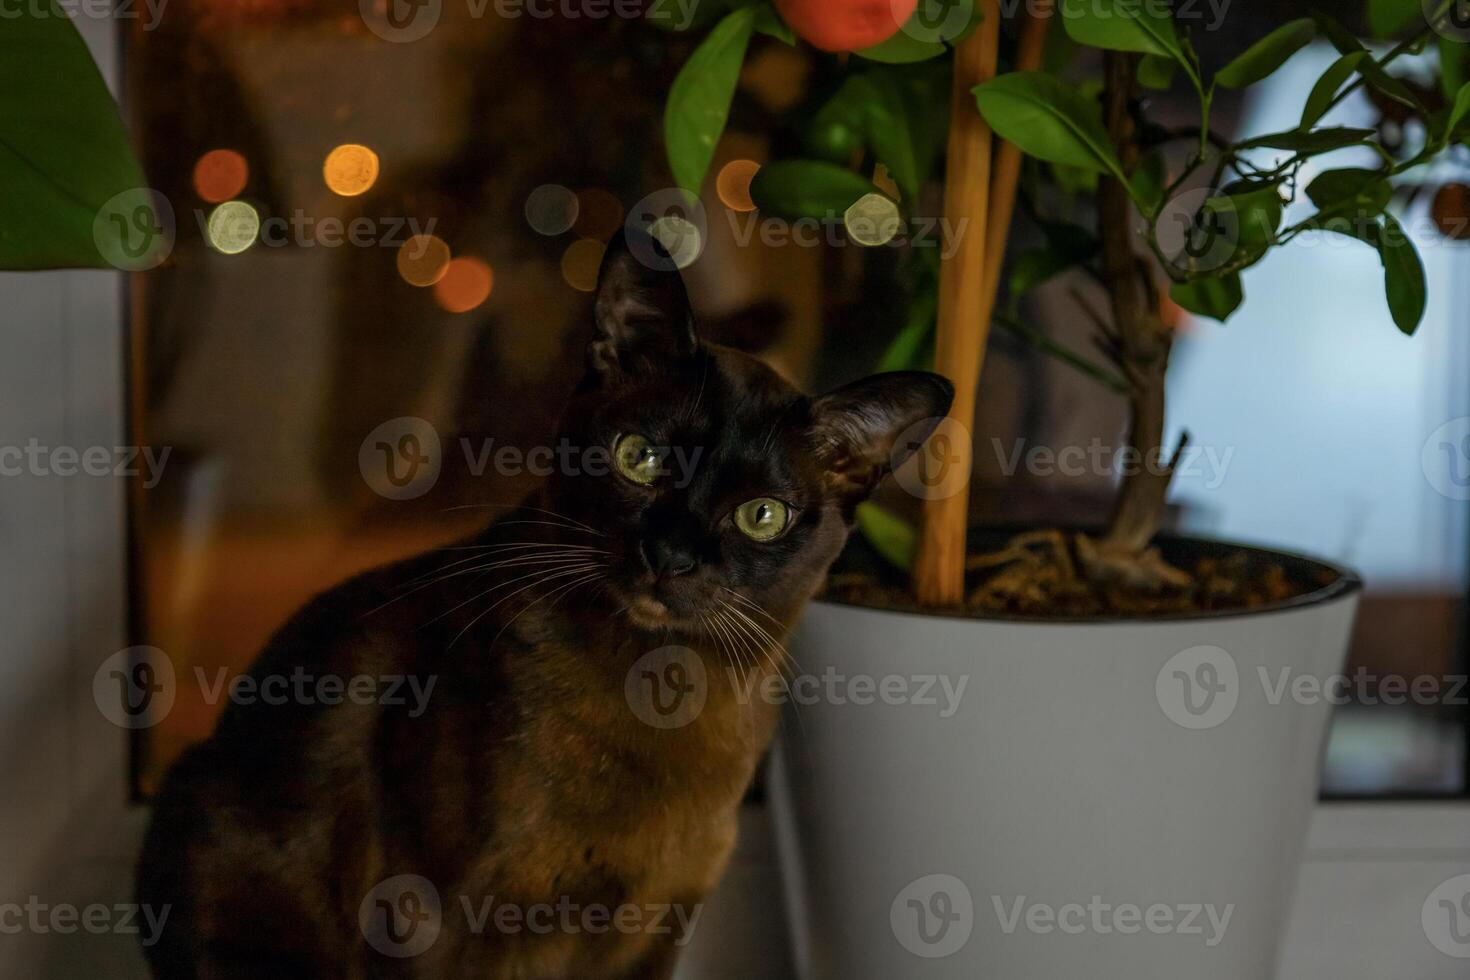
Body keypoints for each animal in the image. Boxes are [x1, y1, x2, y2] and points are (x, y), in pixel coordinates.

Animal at [138, 232, 952, 980]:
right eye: (639, 458)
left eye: (761, 517)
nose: (671, 556)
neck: (662, 697)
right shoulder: (457, 925)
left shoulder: (655, 930)